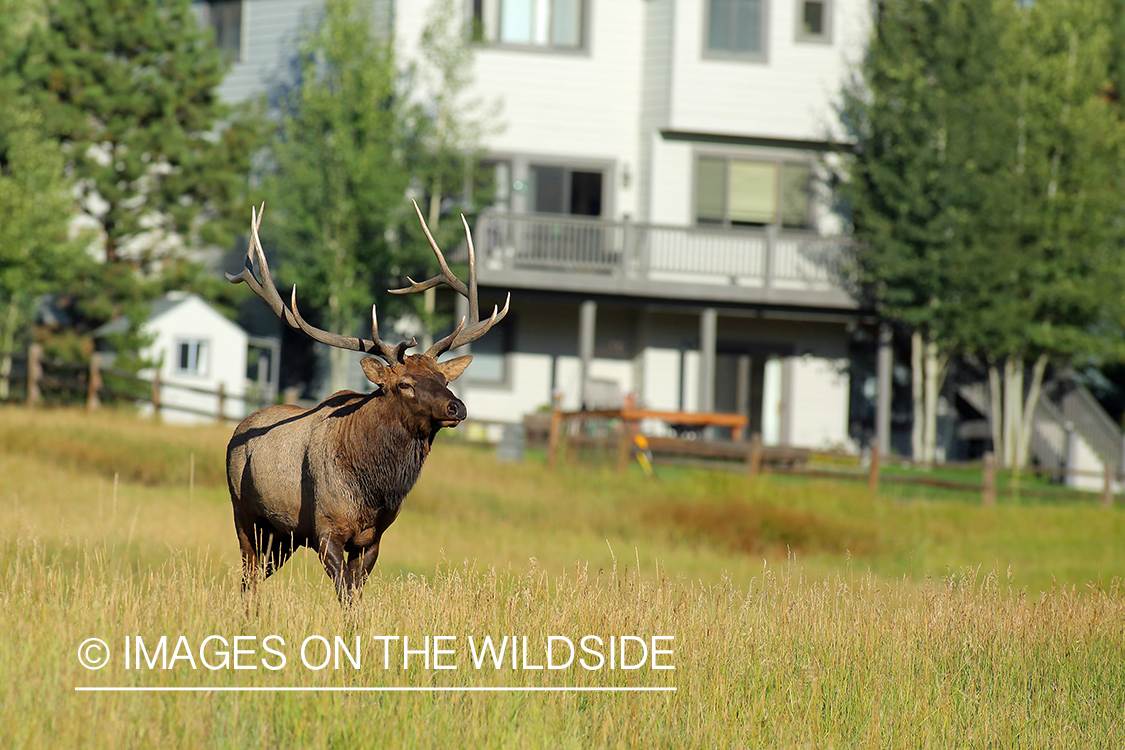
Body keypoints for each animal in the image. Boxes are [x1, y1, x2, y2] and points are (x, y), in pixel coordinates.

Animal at [224, 201, 509, 603]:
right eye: (404, 384)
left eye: (443, 380)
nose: (457, 407)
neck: (372, 490)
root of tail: (238, 429)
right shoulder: (326, 529)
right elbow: (344, 593)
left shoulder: (372, 539)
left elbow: (356, 596)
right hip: (245, 514)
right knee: (248, 577)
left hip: (283, 536)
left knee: (256, 577)